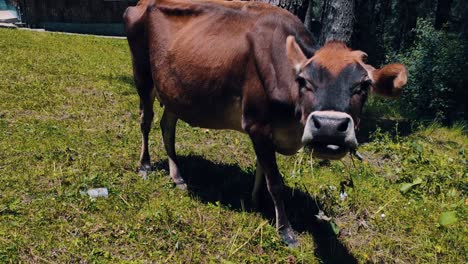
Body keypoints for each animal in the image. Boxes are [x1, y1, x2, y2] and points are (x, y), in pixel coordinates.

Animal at [123, 0, 406, 246]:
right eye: (304, 81)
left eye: (363, 86)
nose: (328, 127)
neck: (293, 122)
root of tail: (140, 4)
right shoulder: (256, 124)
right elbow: (275, 182)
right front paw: (285, 231)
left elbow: (263, 169)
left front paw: (256, 202)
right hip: (142, 75)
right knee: (146, 121)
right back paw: (145, 166)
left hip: (174, 91)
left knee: (167, 126)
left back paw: (178, 176)